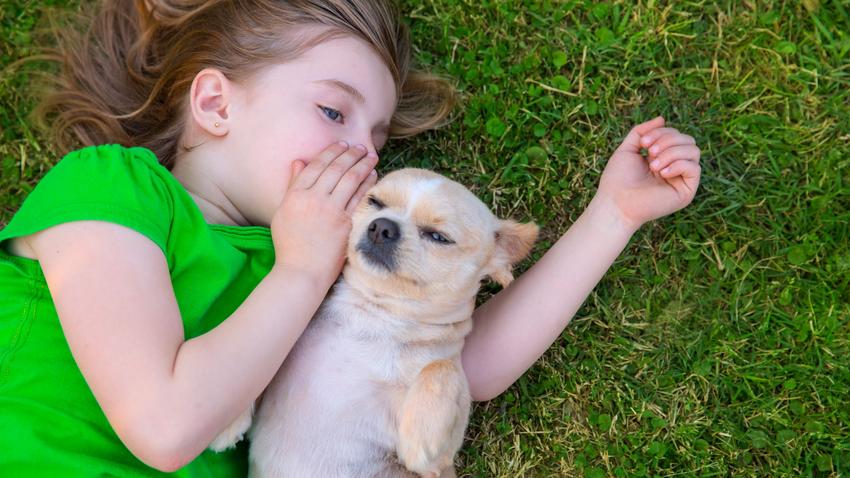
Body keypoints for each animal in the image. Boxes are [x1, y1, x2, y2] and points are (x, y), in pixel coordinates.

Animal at [215, 169, 536, 478]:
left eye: (438, 237)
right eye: (375, 202)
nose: (382, 226)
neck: (374, 315)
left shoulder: (438, 465)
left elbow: (441, 367)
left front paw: (421, 437)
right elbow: (259, 360)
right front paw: (228, 419)